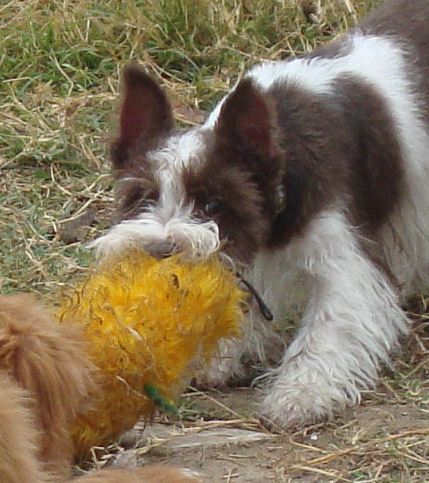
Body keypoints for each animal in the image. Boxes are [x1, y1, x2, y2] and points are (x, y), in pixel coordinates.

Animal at [93, 0, 428, 430]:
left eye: (213, 204)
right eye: (142, 198)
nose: (160, 248)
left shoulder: (345, 261)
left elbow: (328, 327)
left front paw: (300, 393)